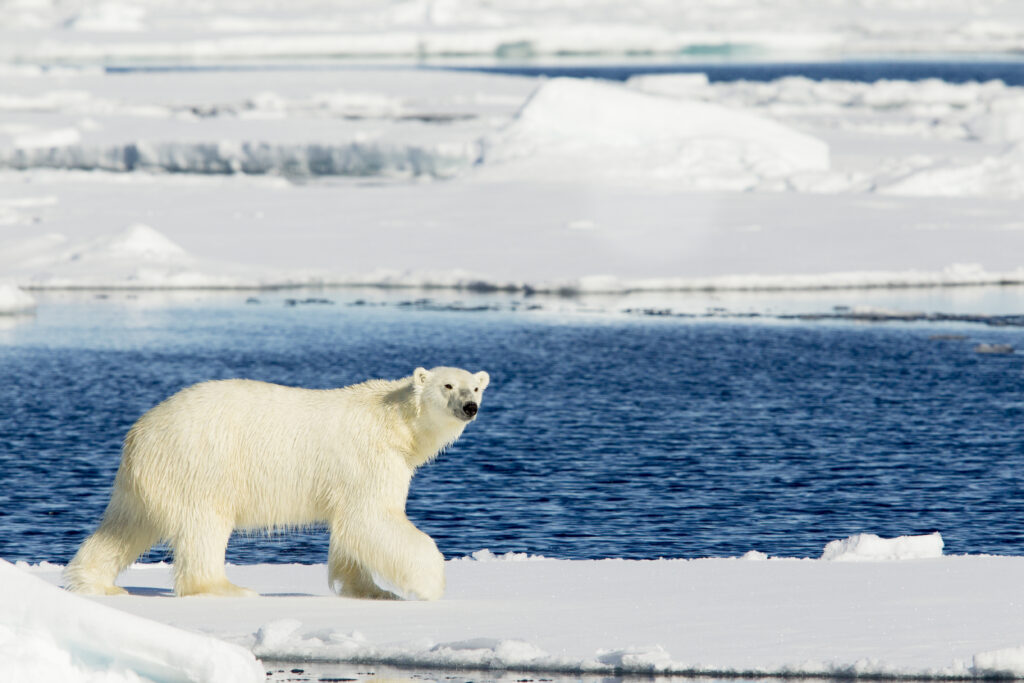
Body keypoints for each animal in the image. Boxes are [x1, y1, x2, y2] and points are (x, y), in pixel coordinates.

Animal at [64, 366, 489, 600]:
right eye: (448, 386)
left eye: (476, 387)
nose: (470, 407)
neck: (394, 422)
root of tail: (141, 430)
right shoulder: (369, 460)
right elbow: (372, 518)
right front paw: (430, 583)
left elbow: (350, 530)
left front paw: (372, 589)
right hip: (202, 464)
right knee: (204, 527)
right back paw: (226, 587)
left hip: (149, 479)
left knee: (125, 526)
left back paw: (95, 582)